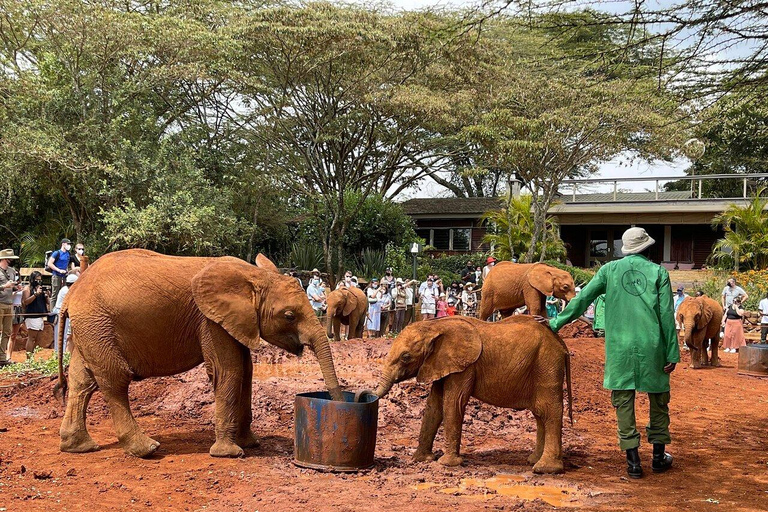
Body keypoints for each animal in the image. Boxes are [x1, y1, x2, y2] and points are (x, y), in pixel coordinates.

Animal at [54, 250, 342, 458]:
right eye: (289, 316)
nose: (340, 405)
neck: (252, 276)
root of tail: (72, 292)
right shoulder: (211, 321)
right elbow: (229, 371)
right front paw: (229, 453)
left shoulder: (233, 320)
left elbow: (246, 371)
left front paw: (250, 443)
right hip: (97, 323)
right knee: (115, 380)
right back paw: (147, 449)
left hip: (90, 328)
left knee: (82, 381)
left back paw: (79, 447)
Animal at [376, 316, 572, 476]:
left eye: (405, 357)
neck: (435, 325)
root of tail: (560, 343)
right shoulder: (440, 364)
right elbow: (434, 406)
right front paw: (420, 459)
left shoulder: (464, 367)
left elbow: (453, 403)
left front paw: (447, 464)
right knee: (539, 413)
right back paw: (533, 460)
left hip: (547, 364)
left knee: (548, 410)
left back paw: (545, 469)